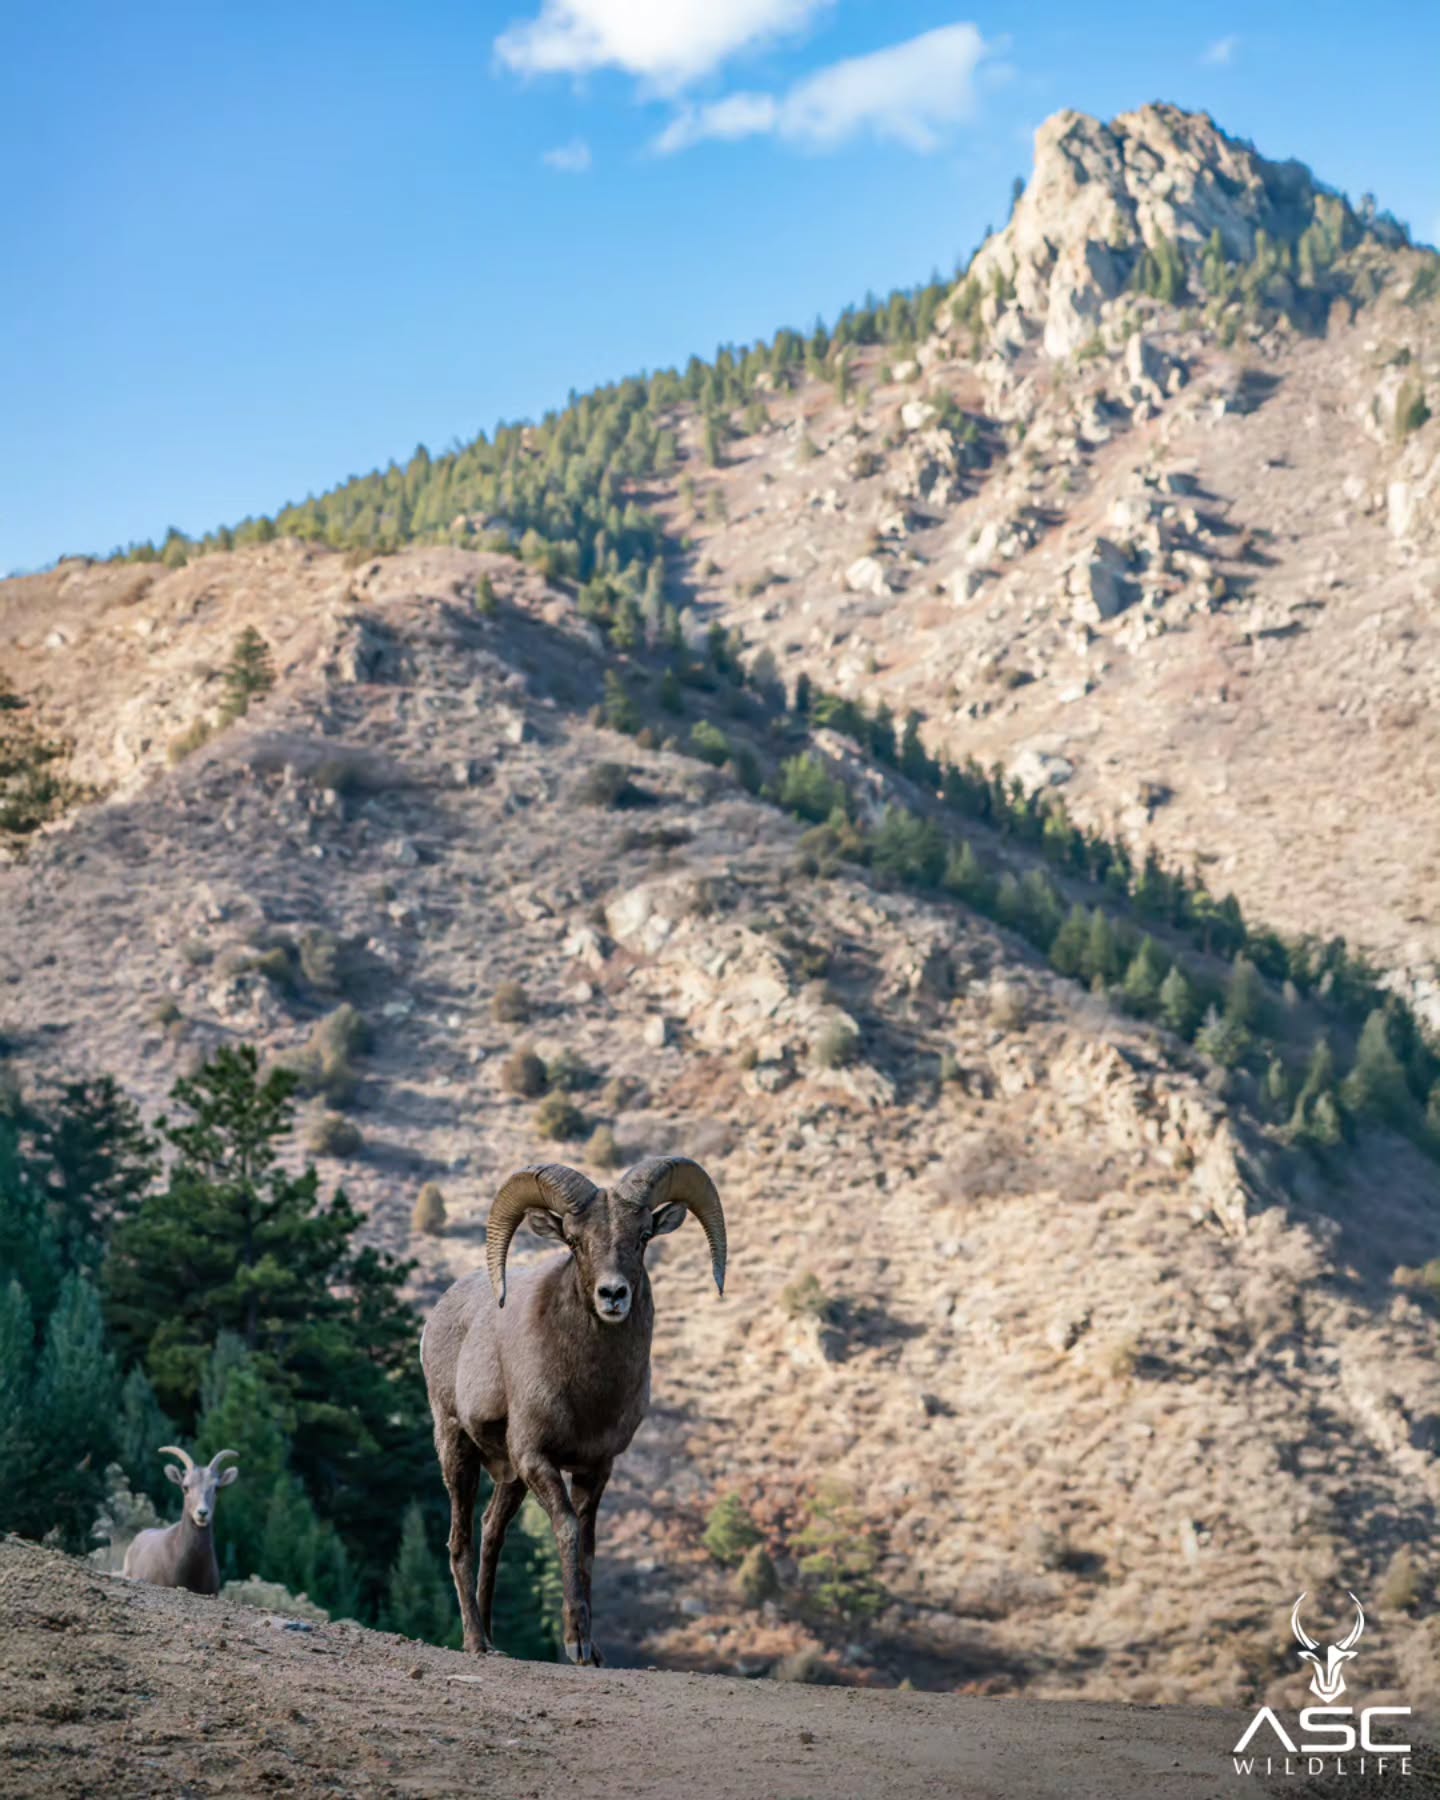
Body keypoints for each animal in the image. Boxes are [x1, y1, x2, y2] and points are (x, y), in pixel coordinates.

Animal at [421, 1156, 726, 1665]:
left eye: (643, 1236)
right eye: (575, 1240)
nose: (613, 1295)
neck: (589, 1392)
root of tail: (438, 1314)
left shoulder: (595, 1467)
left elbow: (587, 1545)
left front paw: (595, 1650)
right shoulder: (537, 1459)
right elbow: (565, 1530)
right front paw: (576, 1644)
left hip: (509, 1478)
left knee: (491, 1533)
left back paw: (494, 1638)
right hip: (457, 1450)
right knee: (460, 1541)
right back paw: (476, 1642)